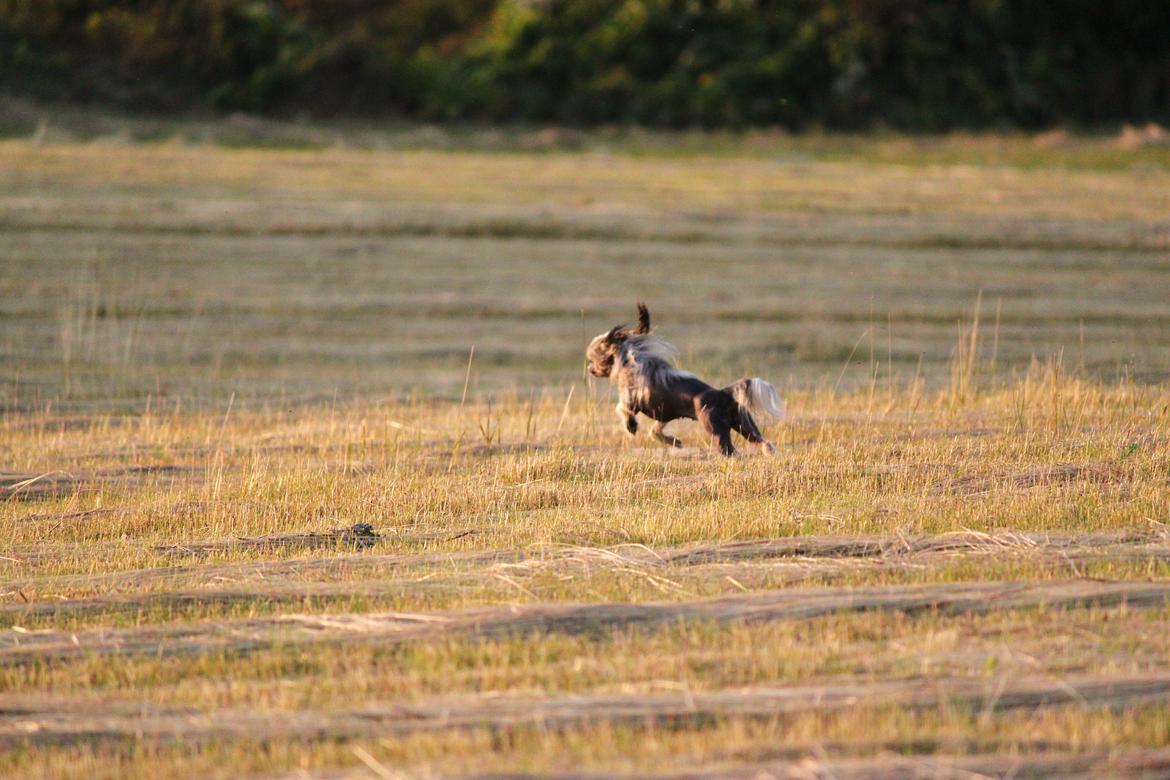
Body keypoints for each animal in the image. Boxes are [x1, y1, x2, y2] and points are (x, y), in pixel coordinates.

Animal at [585, 301, 786, 453]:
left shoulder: (632, 400)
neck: (631, 357)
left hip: (716, 430)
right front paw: (675, 442)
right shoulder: (664, 414)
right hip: (745, 426)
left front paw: (631, 426)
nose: (589, 369)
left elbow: (622, 409)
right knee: (765, 443)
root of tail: (722, 393)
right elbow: (654, 431)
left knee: (732, 452)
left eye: (593, 358)